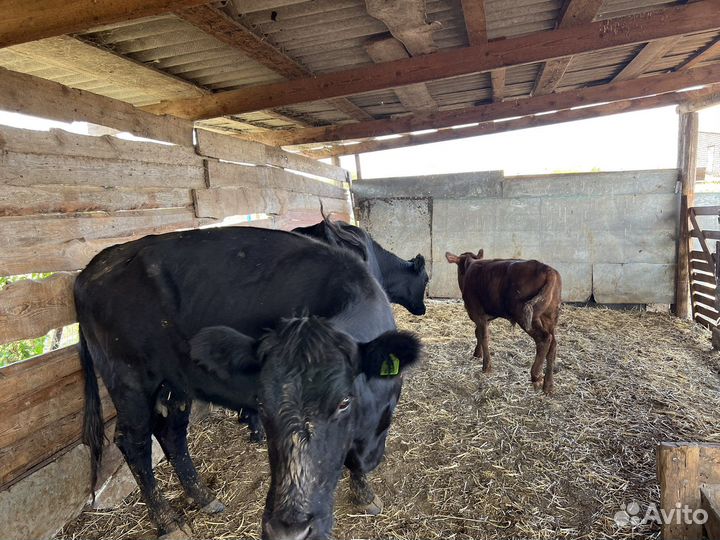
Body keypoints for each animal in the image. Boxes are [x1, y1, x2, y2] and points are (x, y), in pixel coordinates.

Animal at [76, 227, 421, 540]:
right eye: (262, 405)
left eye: (344, 401)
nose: (287, 531)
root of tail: (98, 263)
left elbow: (357, 459)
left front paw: (365, 494)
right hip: (128, 379)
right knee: (134, 442)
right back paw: (168, 521)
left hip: (175, 381)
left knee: (172, 432)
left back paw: (204, 498)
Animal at [445, 250, 561, 395]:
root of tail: (548, 270)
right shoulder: (485, 317)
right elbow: (478, 333)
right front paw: (478, 354)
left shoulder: (477, 313)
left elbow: (483, 336)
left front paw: (486, 366)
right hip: (549, 316)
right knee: (553, 344)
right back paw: (548, 385)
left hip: (527, 316)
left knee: (544, 339)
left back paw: (536, 376)